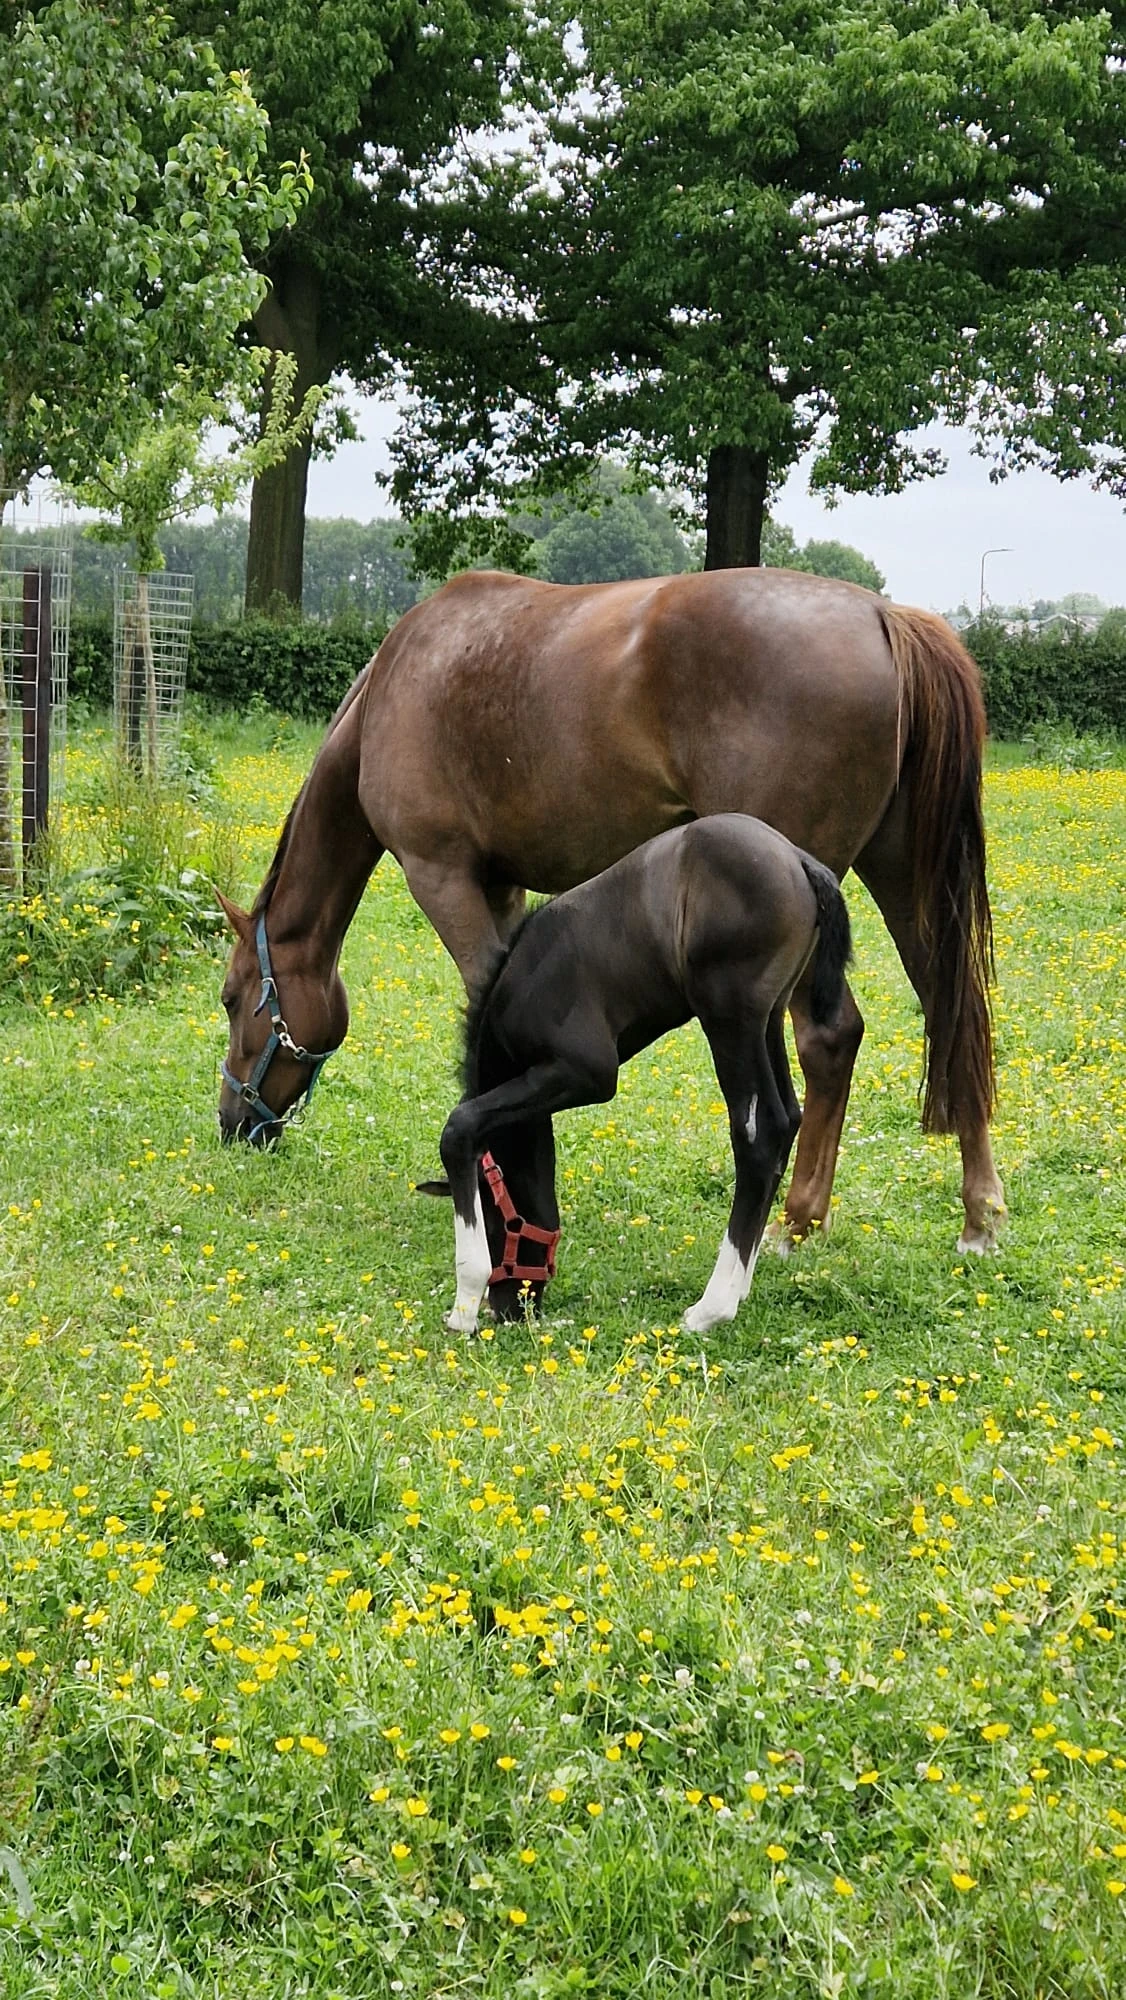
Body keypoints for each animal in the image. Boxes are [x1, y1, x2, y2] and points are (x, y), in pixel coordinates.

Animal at [217, 566, 1002, 1260]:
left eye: (230, 1000)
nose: (232, 1124)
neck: (396, 683)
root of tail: (884, 615)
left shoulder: (441, 876)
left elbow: (481, 1003)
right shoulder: (503, 889)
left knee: (831, 1039)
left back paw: (796, 1221)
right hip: (900, 876)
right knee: (953, 1014)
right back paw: (978, 1216)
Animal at [418, 814, 852, 1335]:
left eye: (493, 1212)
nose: (512, 1308)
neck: (524, 979)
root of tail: (800, 861)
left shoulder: (584, 1073)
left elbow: (460, 1126)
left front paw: (463, 1305)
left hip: (730, 1019)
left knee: (758, 1133)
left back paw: (711, 1308)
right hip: (769, 1017)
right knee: (787, 1118)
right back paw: (738, 1287)